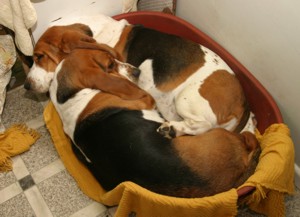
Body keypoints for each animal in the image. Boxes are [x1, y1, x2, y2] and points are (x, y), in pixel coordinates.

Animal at [24, 25, 260, 198]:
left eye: (39, 57)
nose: (26, 85)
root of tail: (244, 105)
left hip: (186, 99)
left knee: (202, 124)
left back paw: (172, 127)